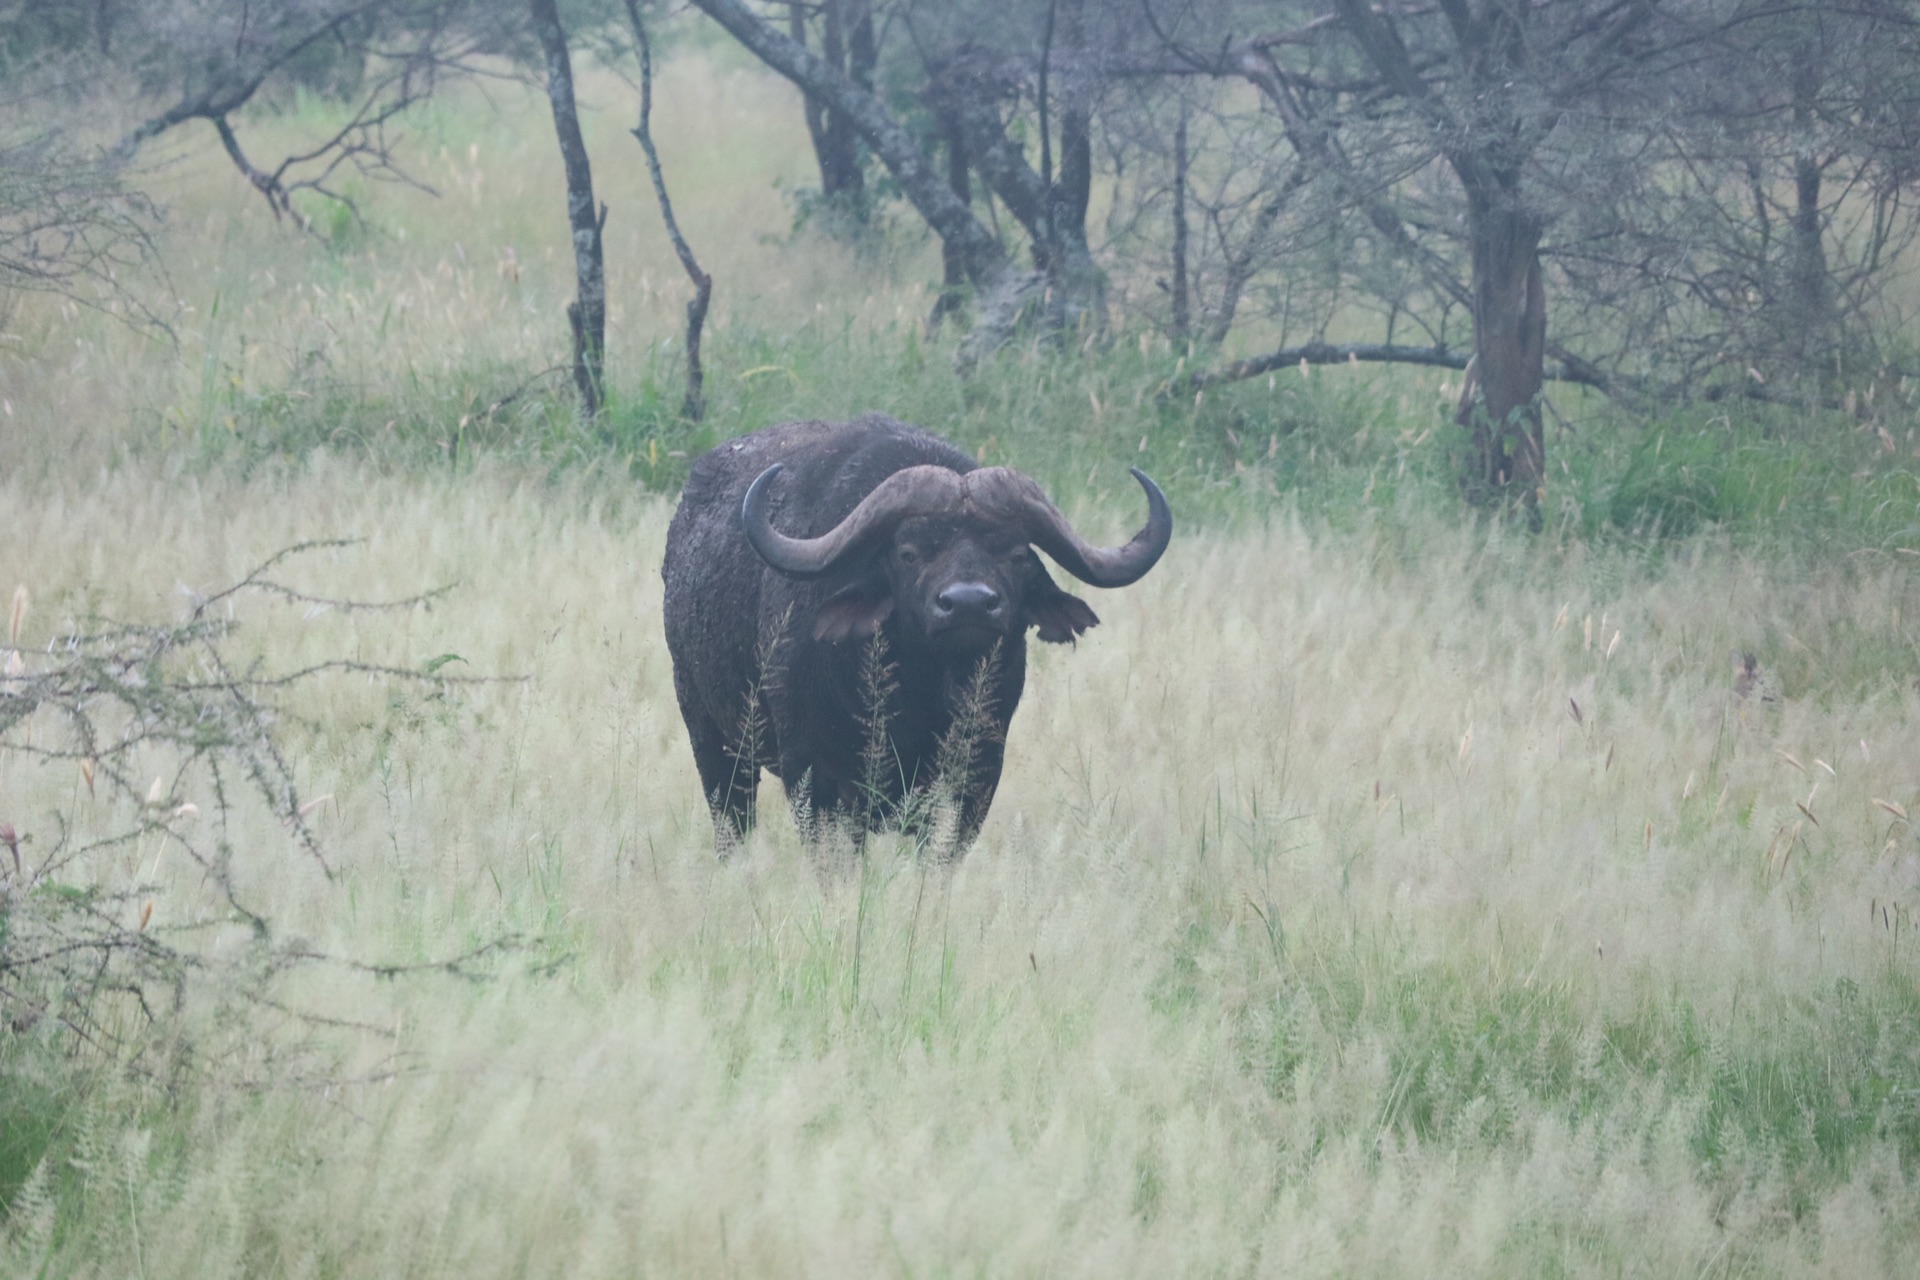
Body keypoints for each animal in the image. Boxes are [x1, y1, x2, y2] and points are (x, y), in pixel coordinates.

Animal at [660, 412, 1167, 852]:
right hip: (710, 735)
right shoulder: (815, 774)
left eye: (1017, 554)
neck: (921, 698)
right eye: (908, 552)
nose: (968, 603)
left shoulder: (975, 776)